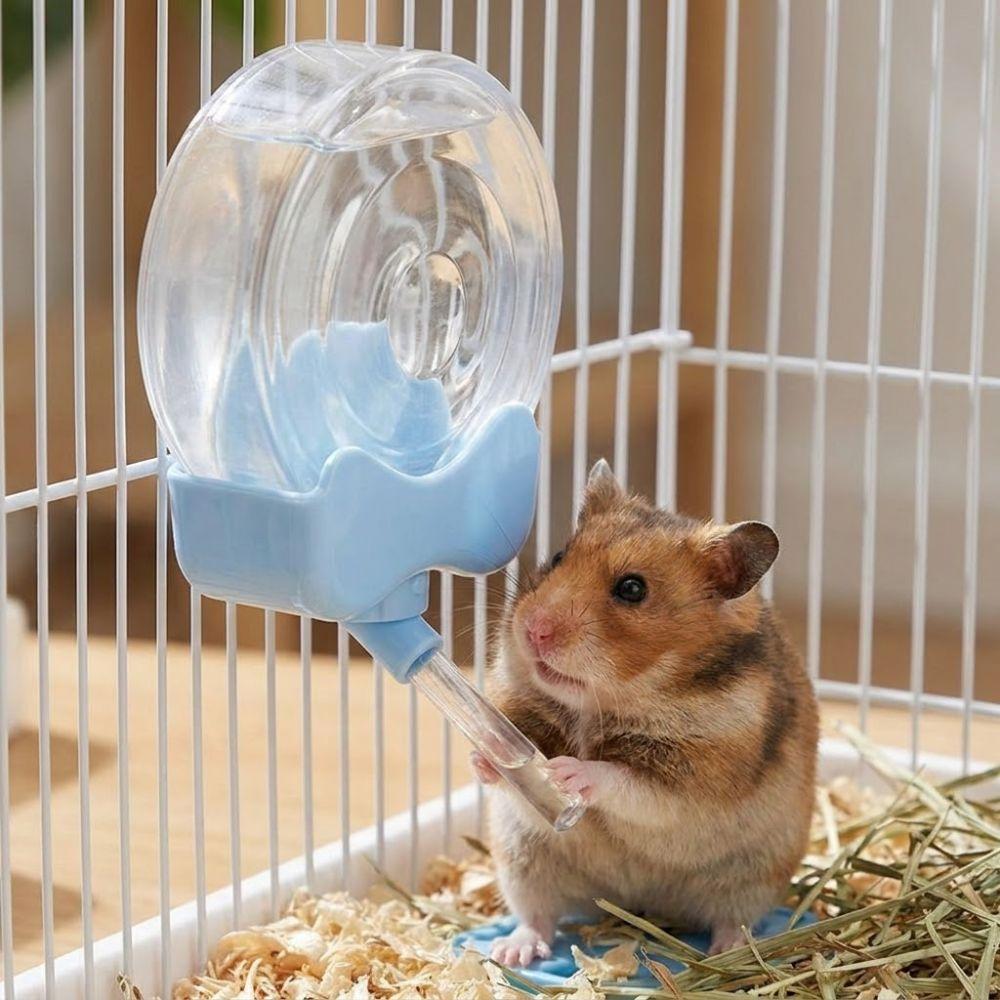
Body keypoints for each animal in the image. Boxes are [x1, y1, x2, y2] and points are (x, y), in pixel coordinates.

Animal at [473, 459, 819, 965]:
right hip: (524, 860)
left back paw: (727, 950)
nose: (534, 631)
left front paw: (567, 772)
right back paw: (511, 951)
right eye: (557, 556)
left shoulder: (693, 777)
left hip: (752, 876)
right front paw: (486, 754)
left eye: (632, 589)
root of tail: (638, 904)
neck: (605, 702)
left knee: (732, 919)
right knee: (538, 916)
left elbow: (626, 782)